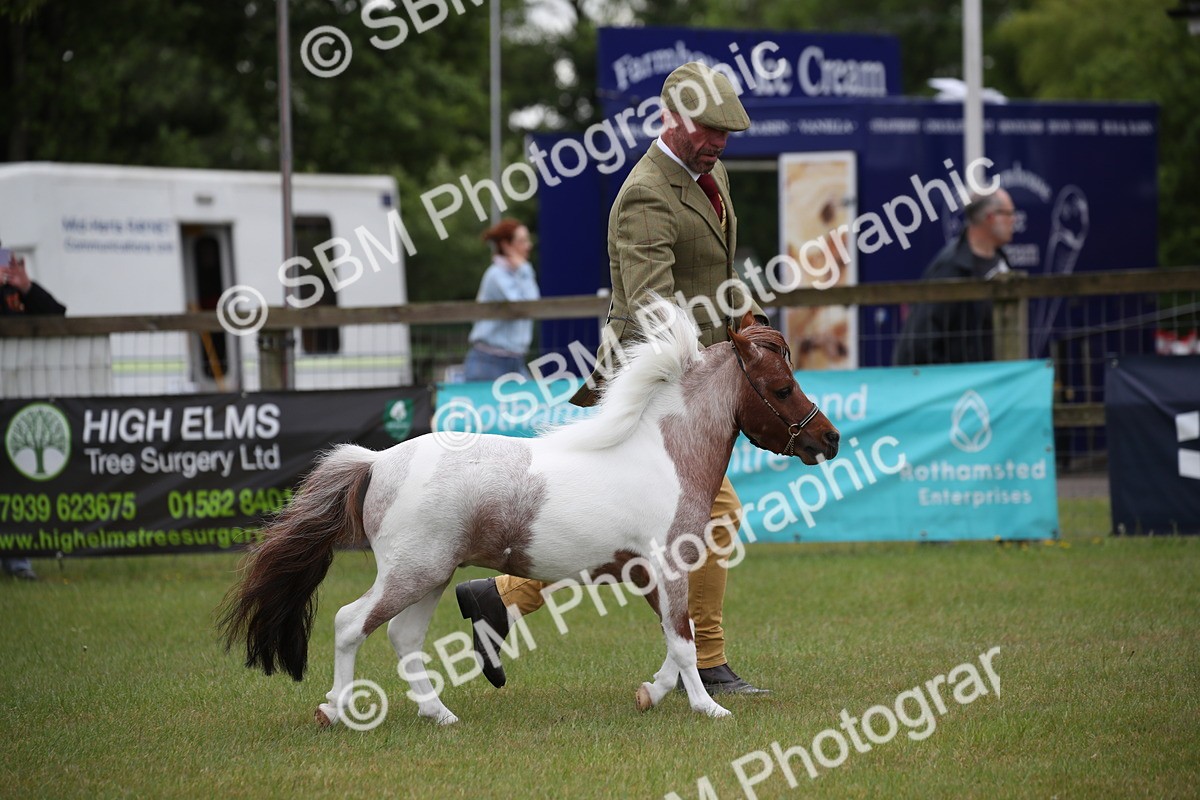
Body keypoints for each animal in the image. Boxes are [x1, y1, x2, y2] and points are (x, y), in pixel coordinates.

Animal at [218, 300, 840, 726]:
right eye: (781, 388)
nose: (829, 440)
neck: (666, 454)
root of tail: (377, 462)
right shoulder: (668, 566)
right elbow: (684, 640)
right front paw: (710, 709)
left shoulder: (647, 574)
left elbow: (673, 640)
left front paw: (652, 694)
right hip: (411, 573)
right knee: (351, 622)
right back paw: (338, 711)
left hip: (430, 576)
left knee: (403, 637)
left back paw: (440, 715)